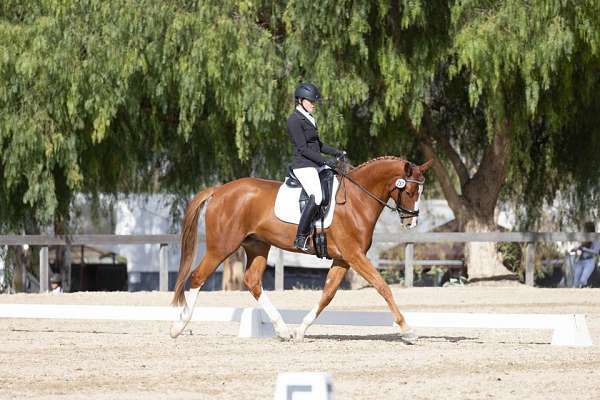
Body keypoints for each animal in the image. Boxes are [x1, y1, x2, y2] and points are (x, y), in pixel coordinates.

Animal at [169, 156, 432, 340]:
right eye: (409, 191)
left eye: (421, 191)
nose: (411, 222)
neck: (357, 200)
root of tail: (219, 190)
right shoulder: (355, 255)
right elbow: (382, 287)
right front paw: (407, 330)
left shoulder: (343, 259)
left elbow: (327, 294)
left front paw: (301, 331)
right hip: (222, 246)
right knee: (197, 277)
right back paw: (177, 327)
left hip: (257, 246)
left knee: (252, 281)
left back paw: (283, 330)